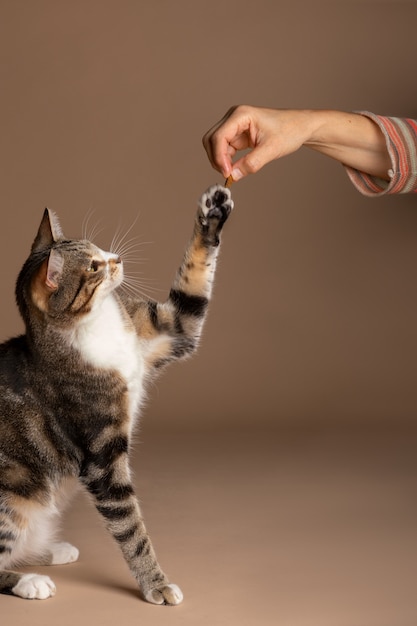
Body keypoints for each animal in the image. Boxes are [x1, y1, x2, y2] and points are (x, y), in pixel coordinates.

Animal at [0, 183, 232, 604]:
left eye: (98, 248)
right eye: (93, 266)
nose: (117, 257)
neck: (96, 325)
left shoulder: (169, 329)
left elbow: (190, 296)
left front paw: (213, 211)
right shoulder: (102, 454)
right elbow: (130, 525)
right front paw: (157, 584)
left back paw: (51, 550)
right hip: (13, 495)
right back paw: (29, 581)